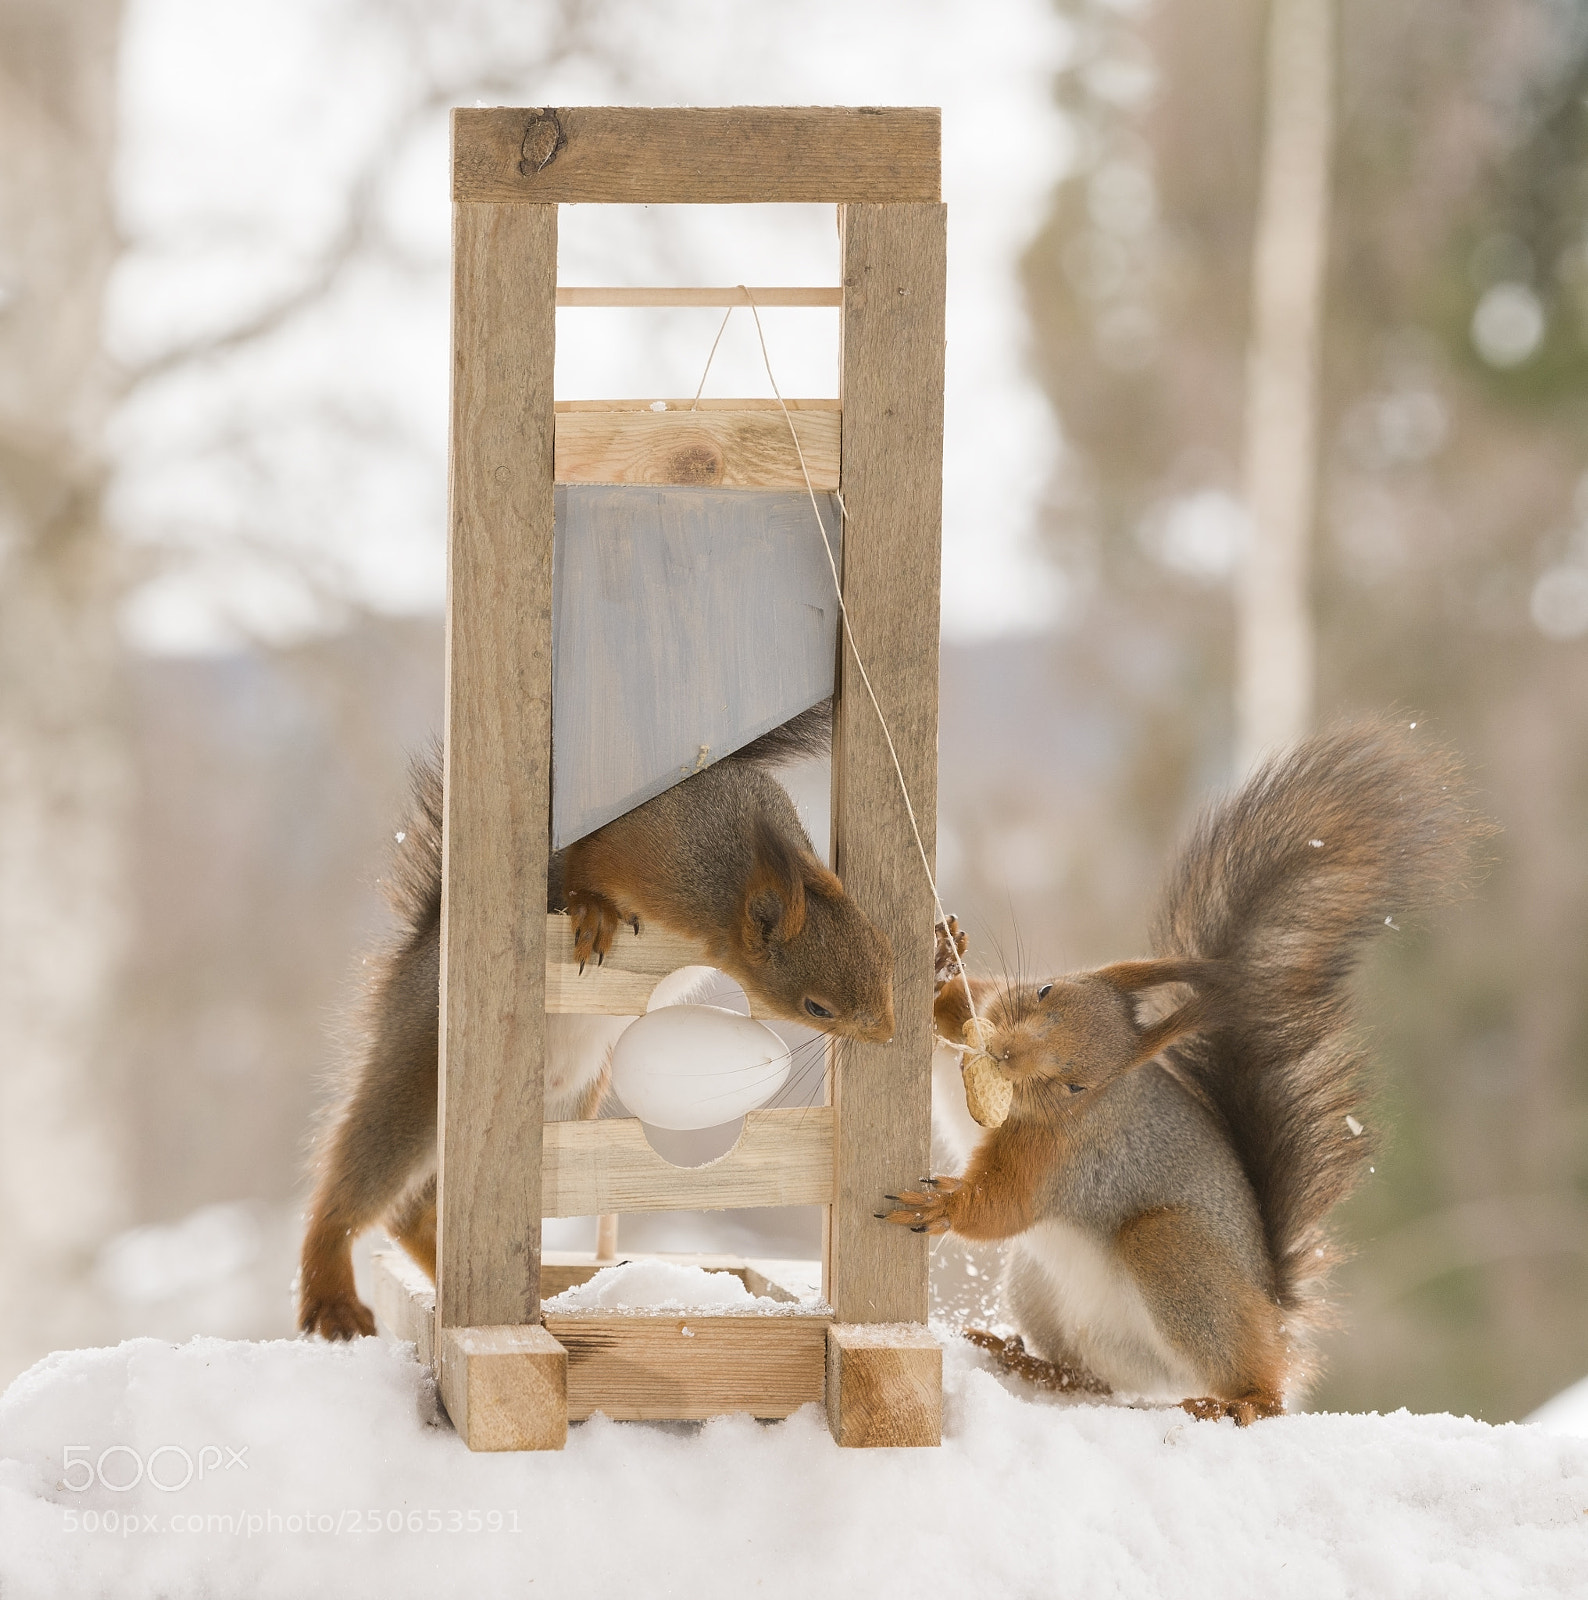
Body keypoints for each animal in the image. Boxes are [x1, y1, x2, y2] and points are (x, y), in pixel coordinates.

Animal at [298, 703, 894, 1340]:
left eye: (883, 952)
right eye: (817, 1008)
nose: (886, 1033)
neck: (725, 872)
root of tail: (415, 954)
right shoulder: (627, 843)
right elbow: (583, 870)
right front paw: (593, 910)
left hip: (556, 1112)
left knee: (417, 1211)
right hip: (418, 1076)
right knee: (353, 1194)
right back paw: (333, 1295)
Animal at [884, 720, 1488, 1423]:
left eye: (1076, 1086)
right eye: (1045, 990)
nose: (1004, 1055)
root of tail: (1274, 1321)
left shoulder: (1059, 1156)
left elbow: (1000, 1207)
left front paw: (942, 1203)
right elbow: (955, 1025)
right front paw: (938, 963)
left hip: (1172, 1252)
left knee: (1256, 1384)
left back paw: (1238, 1403)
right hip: (1039, 1287)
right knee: (1091, 1379)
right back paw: (1030, 1362)